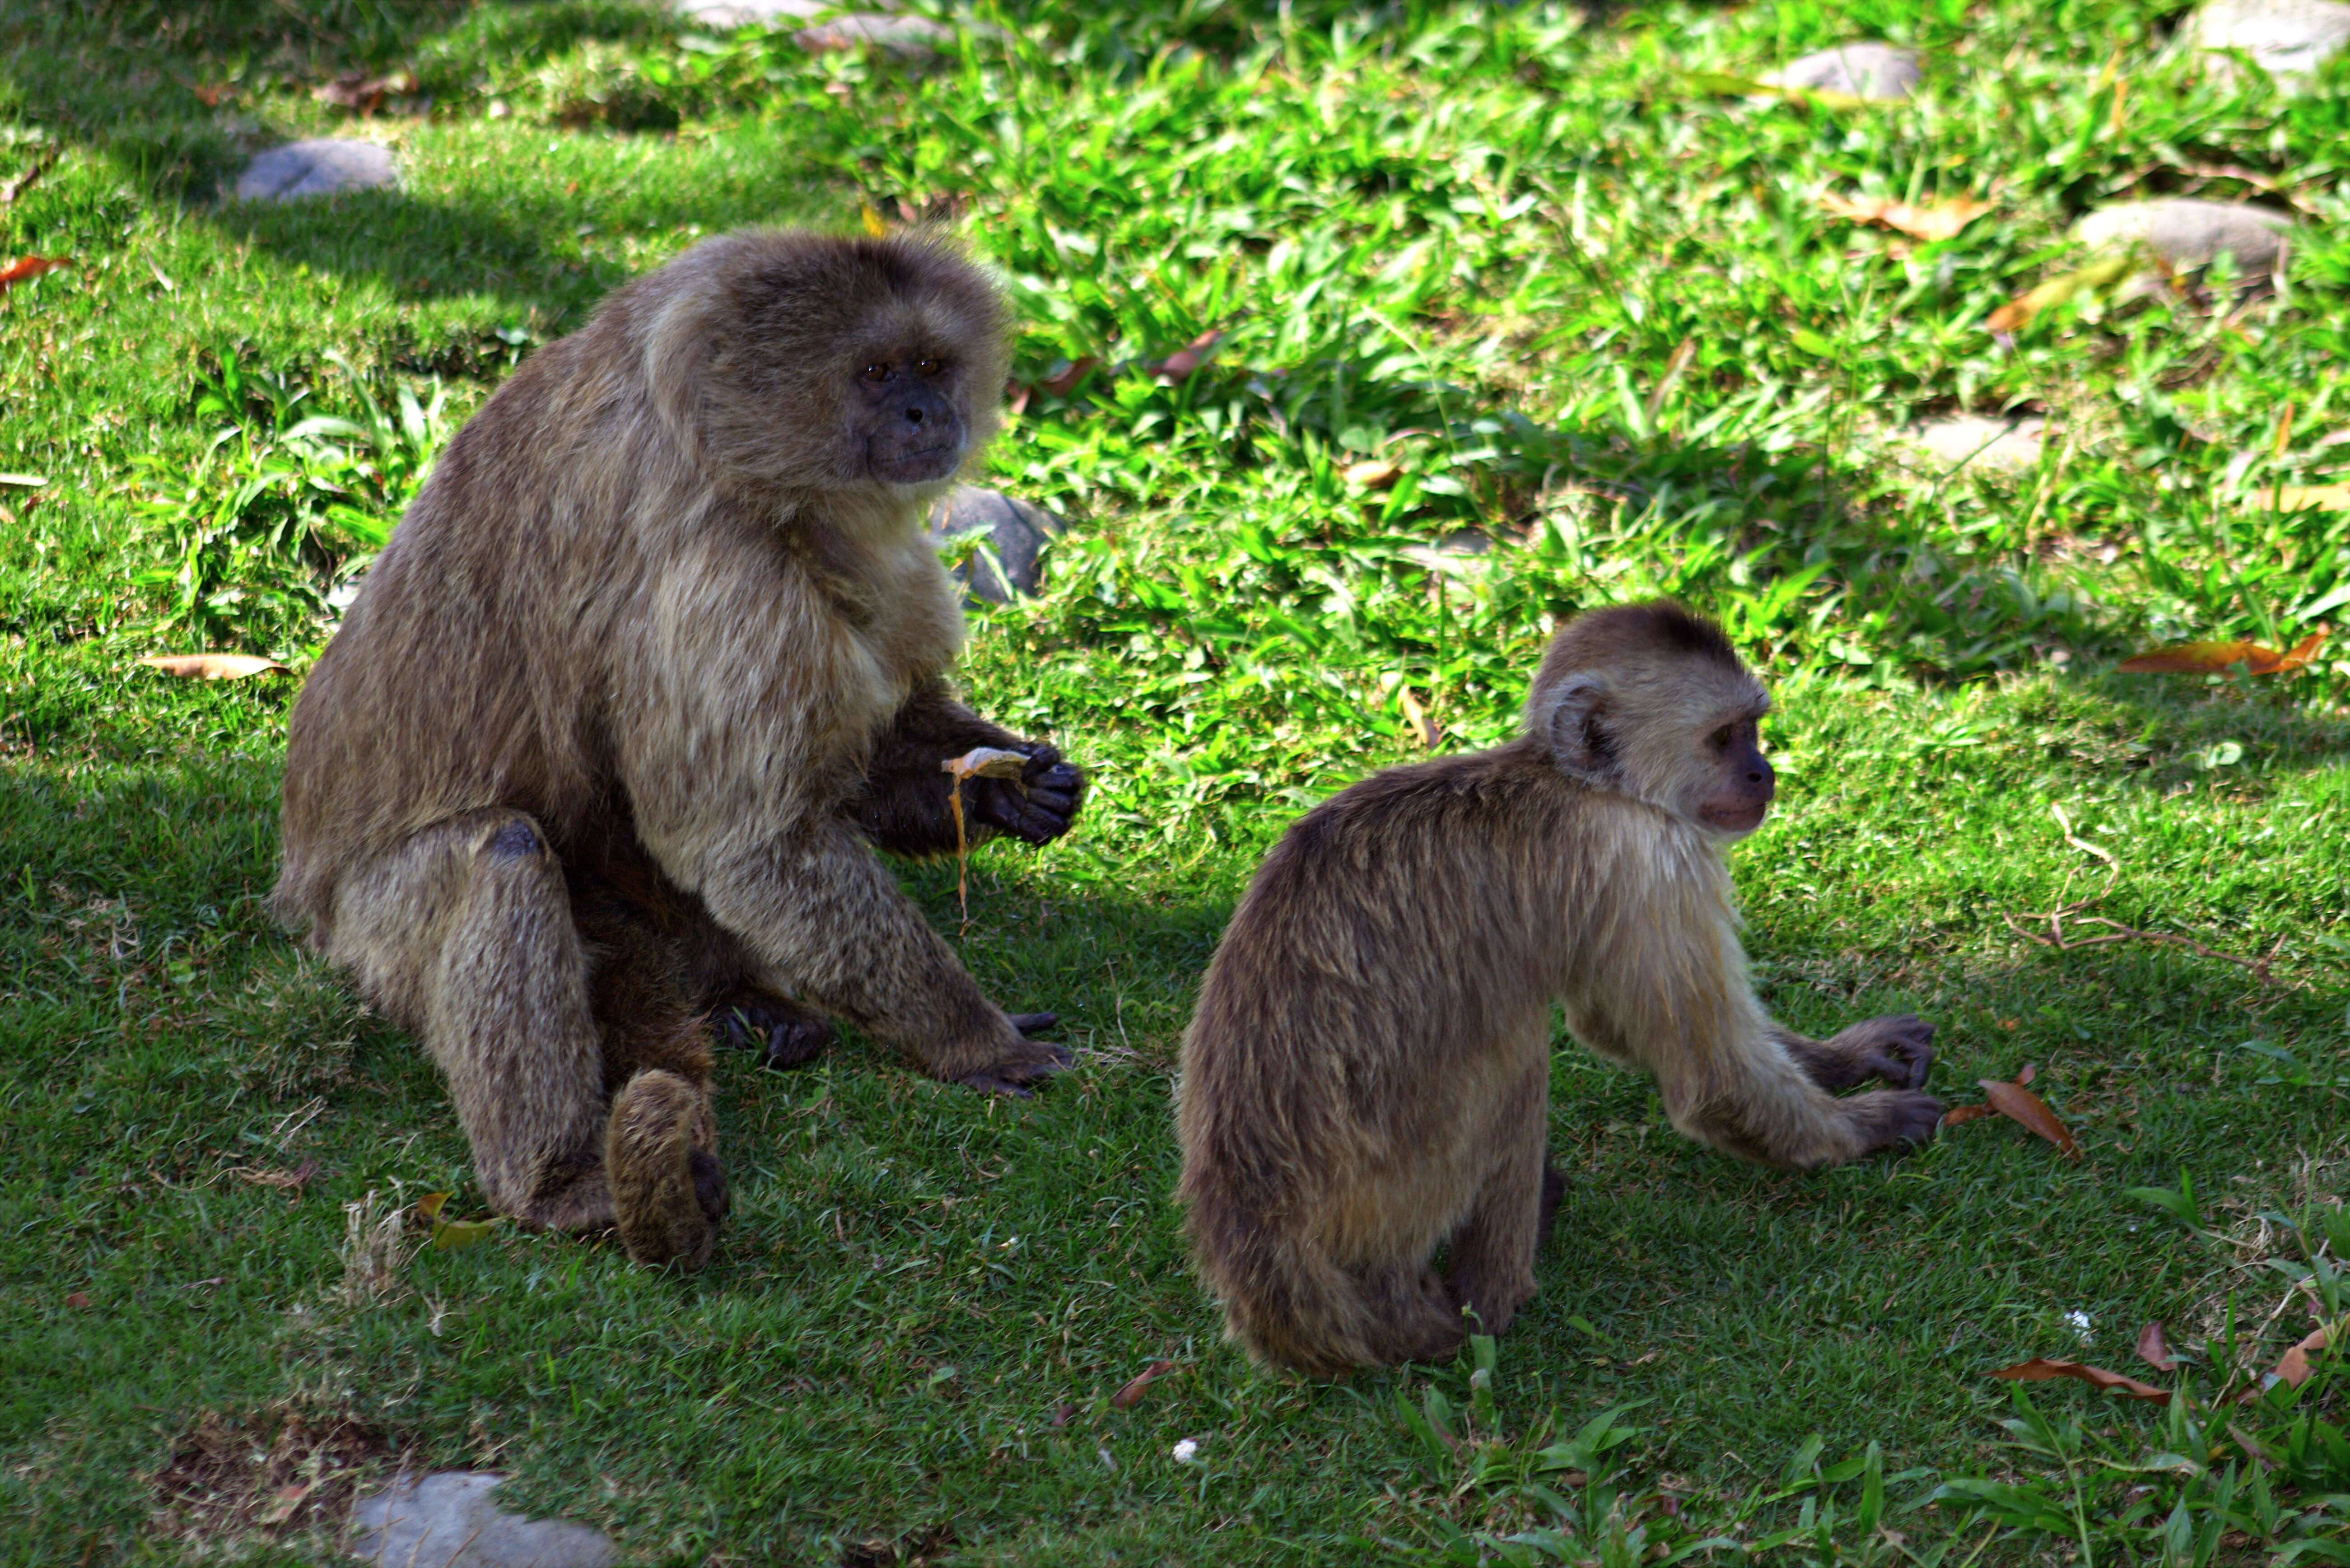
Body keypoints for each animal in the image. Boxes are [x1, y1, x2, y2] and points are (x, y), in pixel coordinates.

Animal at [275, 227, 1081, 1269]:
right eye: (875, 373)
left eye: (931, 365)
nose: (925, 410)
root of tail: (299, 879)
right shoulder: (719, 580)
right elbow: (748, 846)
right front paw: (968, 1038)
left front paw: (1005, 791)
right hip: (363, 930)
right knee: (504, 853)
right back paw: (556, 1184)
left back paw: (738, 998)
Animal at [1184, 602, 1936, 1372]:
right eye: (1725, 739)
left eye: (1753, 731)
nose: (1764, 773)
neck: (1579, 786)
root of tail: (1258, 1240)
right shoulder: (1646, 854)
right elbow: (1710, 1078)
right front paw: (1865, 1127)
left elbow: (1614, 1026)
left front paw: (1842, 1057)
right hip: (1385, 1195)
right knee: (1519, 1057)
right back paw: (1488, 1306)